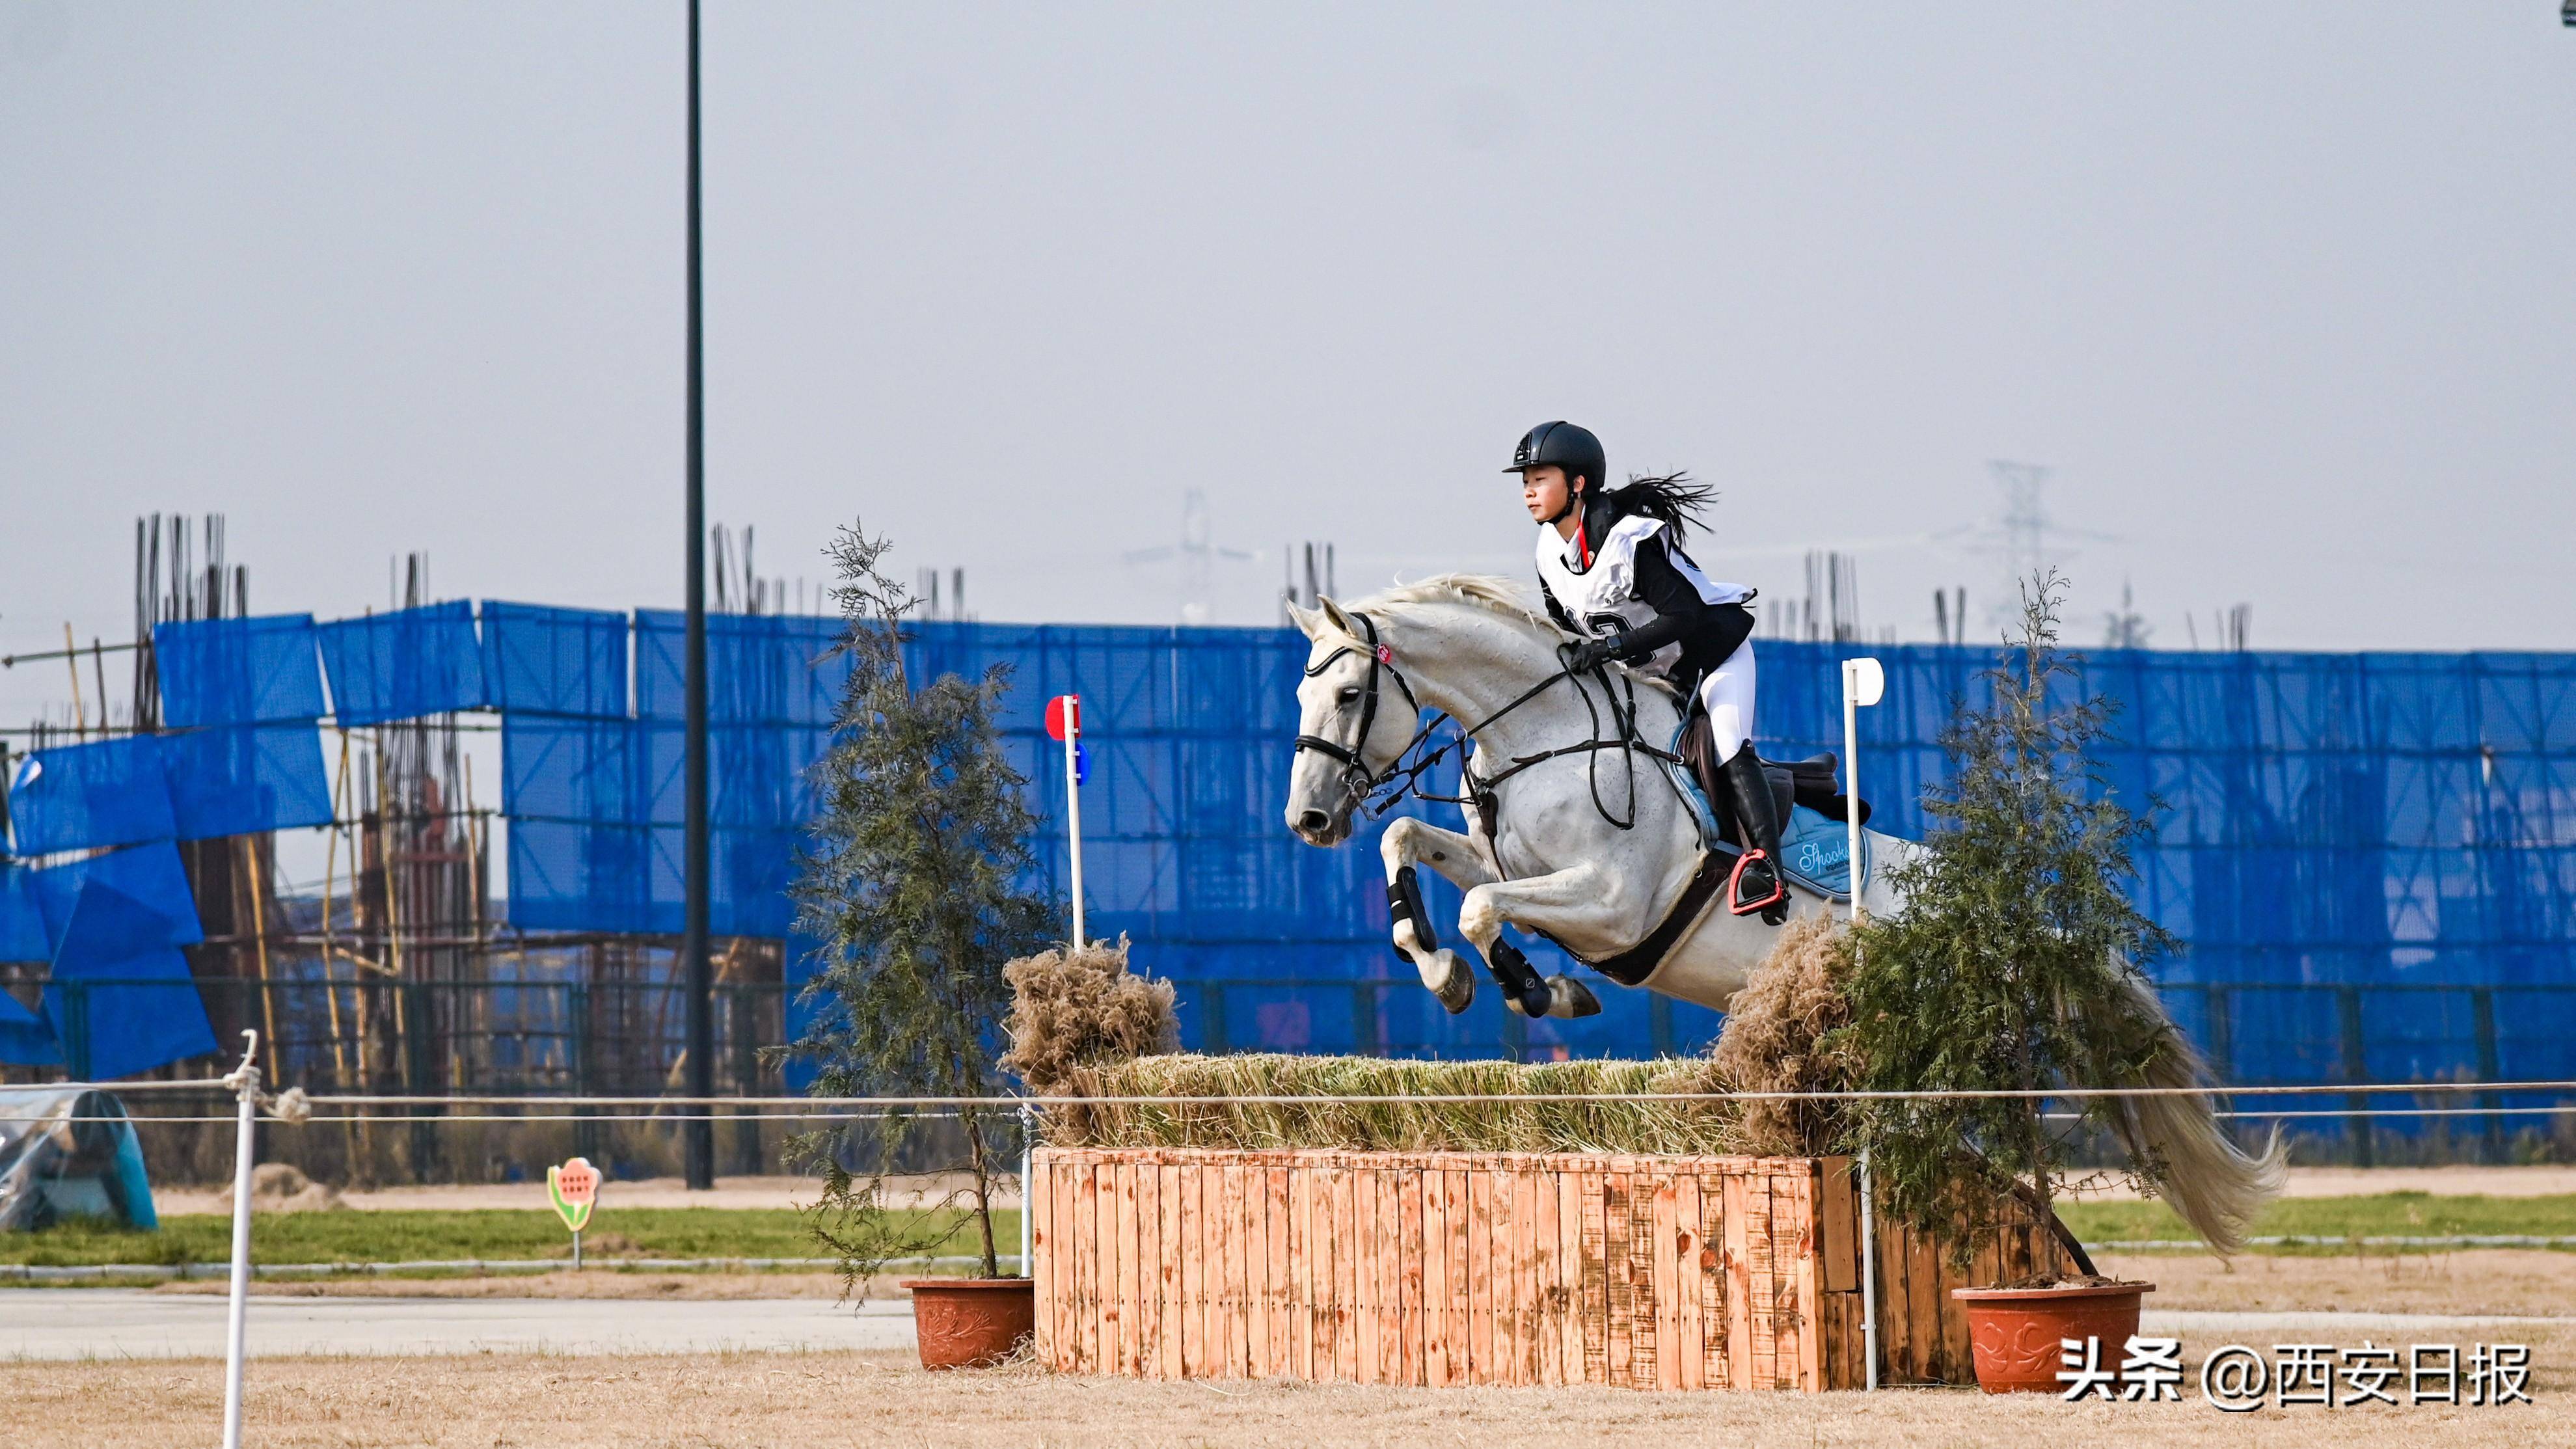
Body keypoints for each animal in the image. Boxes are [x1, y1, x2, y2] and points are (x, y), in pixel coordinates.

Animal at [1288, 574, 2298, 1251]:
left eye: (1349, 692)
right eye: (1301, 692)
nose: (1308, 820)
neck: (1544, 737)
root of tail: (2012, 929)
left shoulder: (1610, 905)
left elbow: (1480, 910)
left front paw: (1539, 992)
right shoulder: (1508, 860)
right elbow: (1409, 846)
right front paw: (1443, 971)